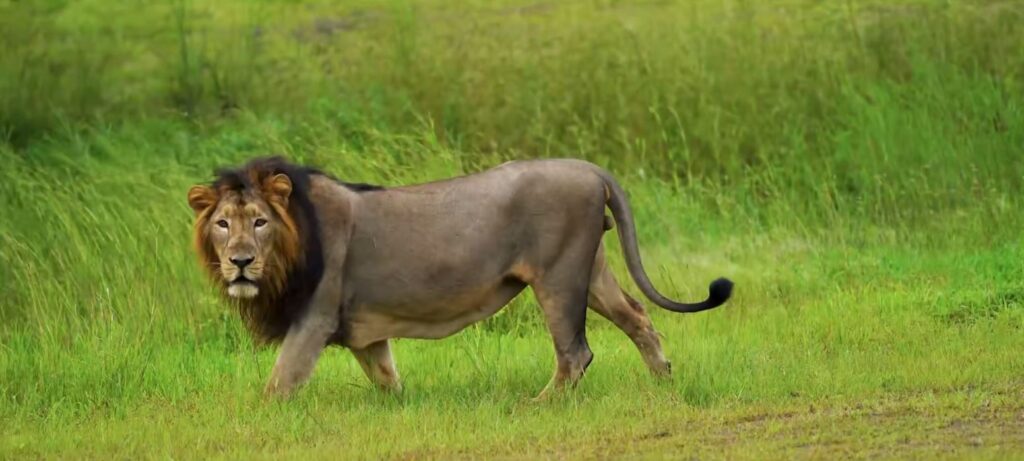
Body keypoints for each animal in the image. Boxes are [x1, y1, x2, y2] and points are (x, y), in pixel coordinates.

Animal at [187, 156, 733, 399]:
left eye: (260, 222)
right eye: (222, 224)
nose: (239, 261)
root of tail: (588, 167)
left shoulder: (314, 319)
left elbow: (278, 383)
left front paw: (255, 421)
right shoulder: (363, 329)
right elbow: (385, 377)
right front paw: (400, 408)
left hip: (558, 277)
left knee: (576, 353)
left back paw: (538, 405)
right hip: (592, 271)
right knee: (640, 319)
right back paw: (664, 383)